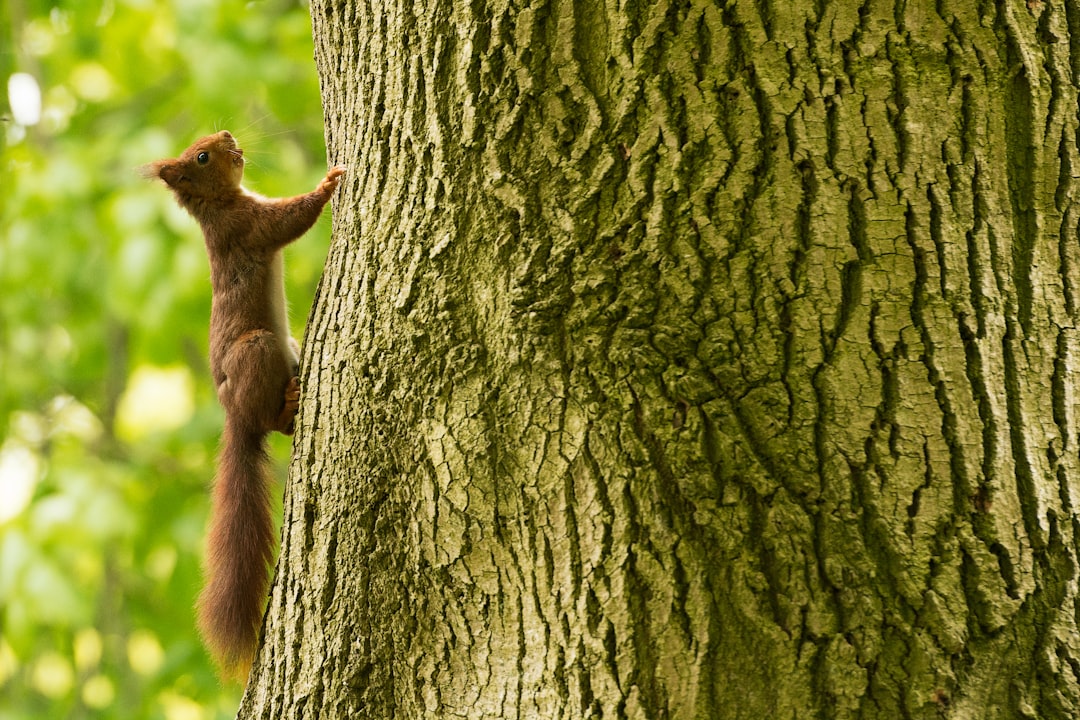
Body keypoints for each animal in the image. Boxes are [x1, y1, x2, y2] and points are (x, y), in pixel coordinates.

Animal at [143, 131, 343, 682]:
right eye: (201, 156)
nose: (229, 136)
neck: (219, 205)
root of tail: (234, 414)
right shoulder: (249, 226)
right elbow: (290, 220)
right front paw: (328, 183)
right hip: (259, 350)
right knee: (271, 422)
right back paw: (287, 406)